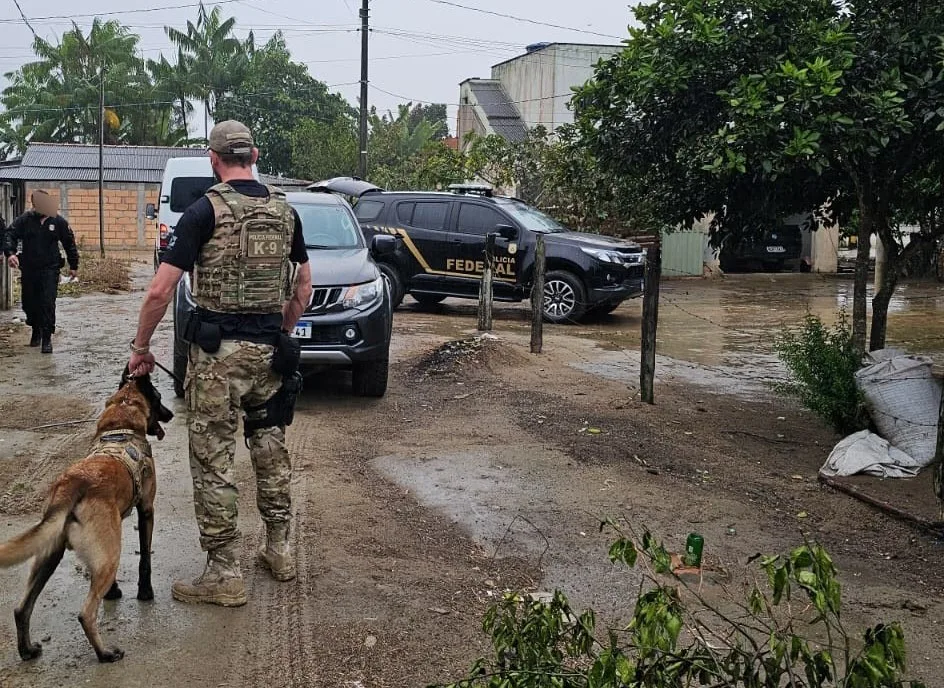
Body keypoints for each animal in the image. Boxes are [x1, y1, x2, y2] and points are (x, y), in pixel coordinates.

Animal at [0, 368, 172, 664]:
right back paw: (105, 653)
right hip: (108, 556)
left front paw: (113, 592)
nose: (171, 414)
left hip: (50, 554)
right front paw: (145, 593)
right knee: (86, 613)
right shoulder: (146, 510)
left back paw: (27, 650)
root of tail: (72, 485)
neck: (121, 421)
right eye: (159, 398)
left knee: (22, 608)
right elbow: (145, 559)